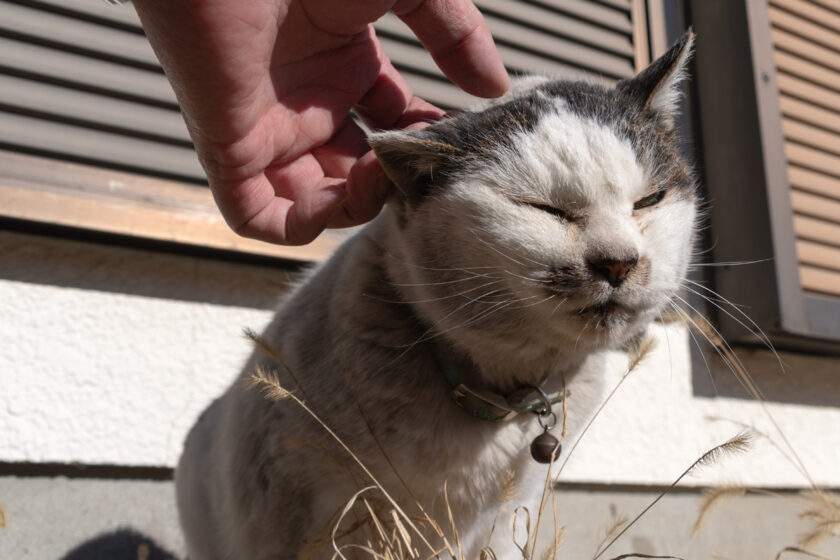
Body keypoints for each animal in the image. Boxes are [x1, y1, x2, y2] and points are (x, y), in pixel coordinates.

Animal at [176, 31, 696, 560]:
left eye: (649, 201)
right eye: (546, 209)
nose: (619, 262)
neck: (502, 398)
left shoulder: (510, 512)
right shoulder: (299, 518)